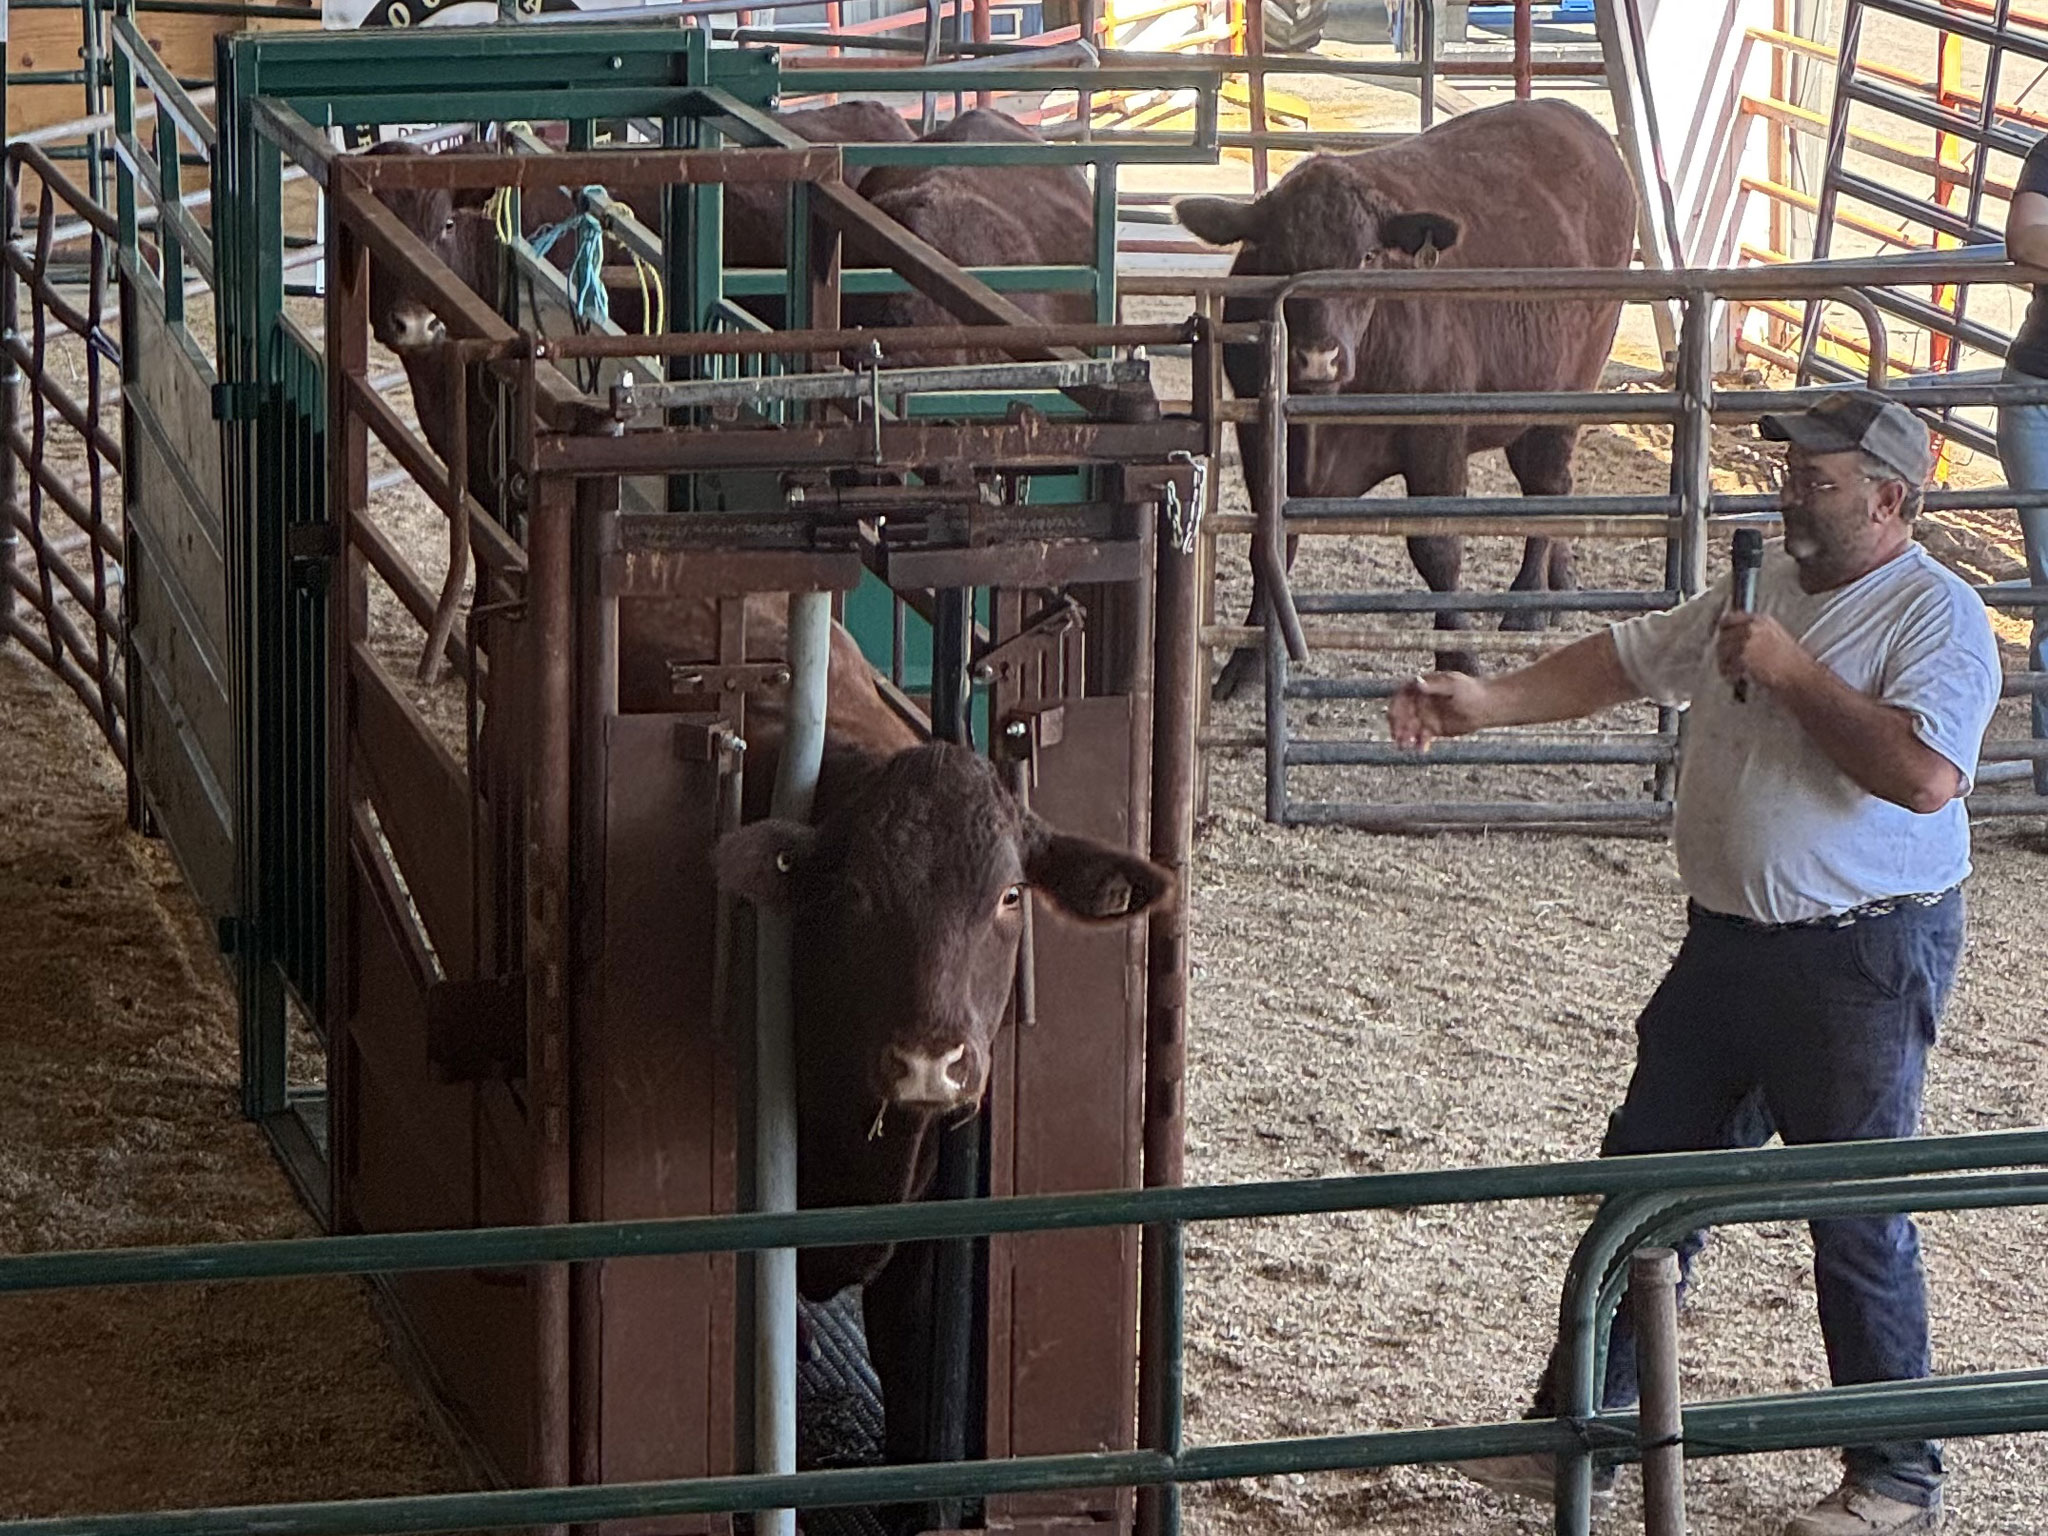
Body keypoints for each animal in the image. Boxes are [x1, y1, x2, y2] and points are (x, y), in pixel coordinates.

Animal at [1172, 97, 1639, 697]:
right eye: (1277, 254)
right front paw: (1246, 664)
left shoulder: (1435, 436)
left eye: (1369, 255)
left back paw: (1530, 602)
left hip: (1565, 392)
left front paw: (1458, 660)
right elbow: (1269, 546)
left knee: (1547, 485)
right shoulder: (1260, 438)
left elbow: (1437, 553)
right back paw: (1562, 586)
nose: (1318, 357)